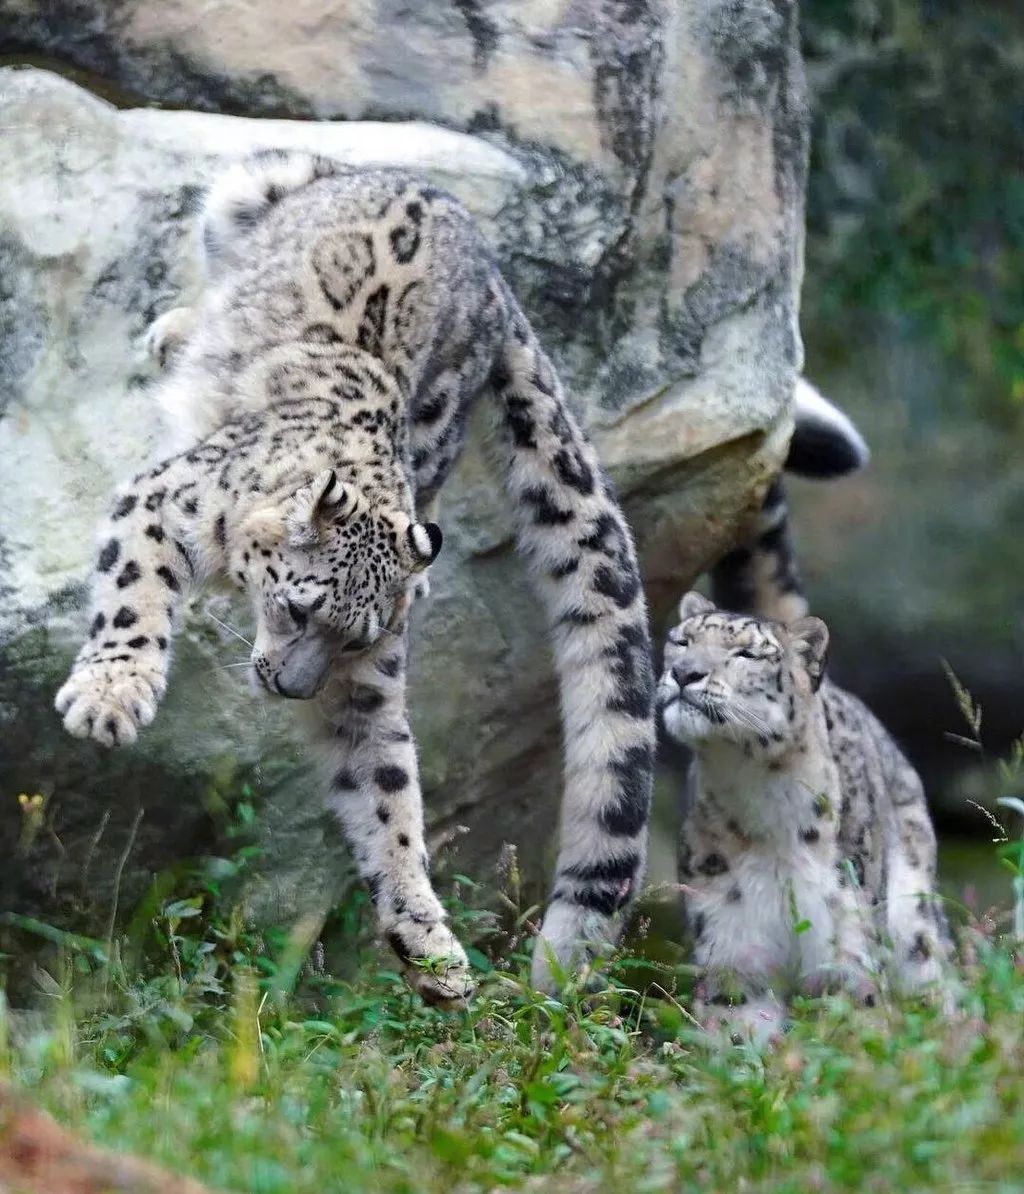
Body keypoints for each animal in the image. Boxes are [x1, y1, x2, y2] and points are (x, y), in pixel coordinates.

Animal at [54, 151, 654, 1007]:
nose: (295, 687)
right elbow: (132, 596)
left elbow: (384, 785)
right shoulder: (167, 501)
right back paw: (176, 332)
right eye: (297, 608)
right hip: (248, 187)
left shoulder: (368, 689)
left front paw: (427, 939)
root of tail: (482, 251)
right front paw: (109, 698)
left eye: (354, 643)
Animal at [658, 401, 945, 1036]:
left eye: (745, 654)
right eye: (680, 640)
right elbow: (739, 1036)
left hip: (914, 919)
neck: (764, 804)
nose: (685, 673)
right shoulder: (734, 952)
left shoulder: (847, 952)